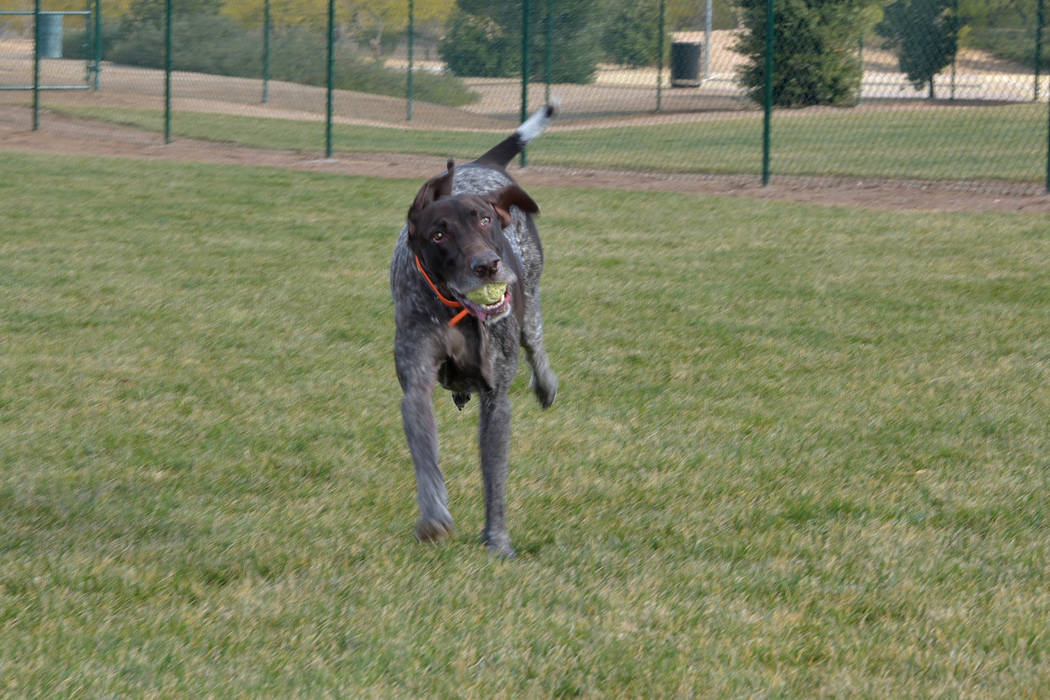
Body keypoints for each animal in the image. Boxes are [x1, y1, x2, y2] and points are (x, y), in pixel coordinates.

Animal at [392, 102, 558, 558]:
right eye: (438, 234)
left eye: (485, 220)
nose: (487, 265)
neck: (456, 310)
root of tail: (483, 164)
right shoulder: (416, 384)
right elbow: (426, 459)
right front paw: (434, 516)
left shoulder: (497, 400)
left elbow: (495, 481)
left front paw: (497, 540)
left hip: (531, 295)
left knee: (536, 340)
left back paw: (546, 383)